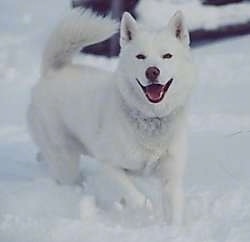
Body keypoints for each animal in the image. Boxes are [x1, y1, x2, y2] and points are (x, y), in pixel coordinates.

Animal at [28, 9, 196, 225]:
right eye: (140, 56)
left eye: (167, 56)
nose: (152, 71)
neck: (151, 119)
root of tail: (52, 71)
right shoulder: (109, 165)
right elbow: (137, 197)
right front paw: (142, 209)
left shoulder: (171, 177)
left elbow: (173, 212)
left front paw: (172, 229)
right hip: (65, 160)